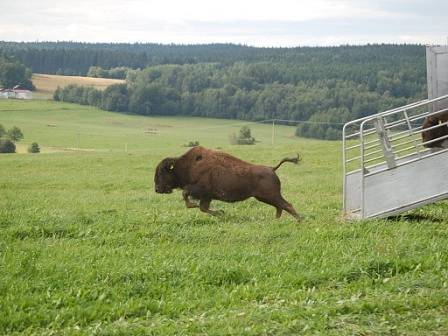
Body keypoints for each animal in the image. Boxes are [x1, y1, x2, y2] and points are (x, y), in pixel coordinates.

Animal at [154, 145, 300, 219]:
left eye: (161, 172)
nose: (157, 189)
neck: (186, 165)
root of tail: (271, 168)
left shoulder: (200, 191)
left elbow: (186, 195)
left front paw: (220, 212)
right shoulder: (207, 197)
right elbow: (202, 208)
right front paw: (221, 213)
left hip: (270, 196)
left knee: (286, 205)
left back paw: (299, 220)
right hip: (265, 197)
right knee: (280, 207)